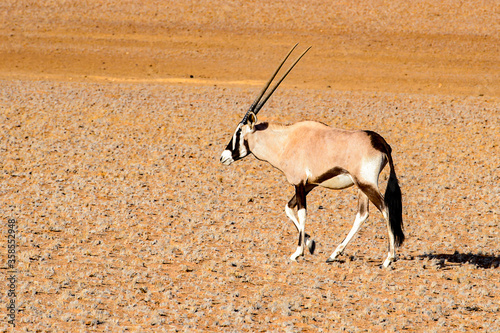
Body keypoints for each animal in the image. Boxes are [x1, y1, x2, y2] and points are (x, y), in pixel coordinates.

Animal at [221, 44, 404, 268]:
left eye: (238, 132)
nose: (223, 156)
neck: (285, 141)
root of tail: (381, 142)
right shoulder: (309, 184)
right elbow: (288, 208)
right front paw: (310, 244)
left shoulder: (299, 183)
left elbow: (301, 212)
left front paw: (298, 252)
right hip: (362, 186)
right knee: (362, 214)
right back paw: (334, 254)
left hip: (366, 184)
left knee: (385, 208)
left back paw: (388, 258)